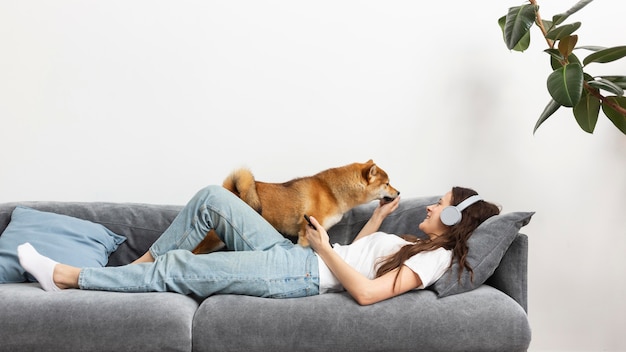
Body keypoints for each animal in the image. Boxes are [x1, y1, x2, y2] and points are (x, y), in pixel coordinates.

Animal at [190, 160, 400, 253]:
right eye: (387, 183)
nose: (398, 193)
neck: (332, 192)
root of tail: (230, 191)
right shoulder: (306, 233)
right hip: (213, 239)